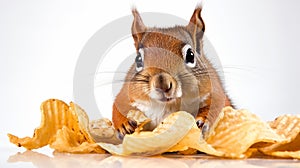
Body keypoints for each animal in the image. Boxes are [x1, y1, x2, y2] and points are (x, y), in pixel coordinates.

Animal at [112, 5, 232, 138]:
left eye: (191, 55)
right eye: (138, 59)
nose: (162, 84)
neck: (169, 106)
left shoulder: (215, 91)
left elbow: (217, 106)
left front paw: (202, 120)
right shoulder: (126, 95)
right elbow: (117, 107)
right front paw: (124, 125)